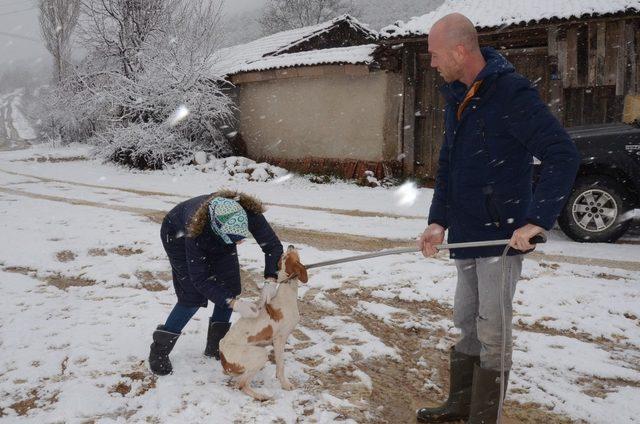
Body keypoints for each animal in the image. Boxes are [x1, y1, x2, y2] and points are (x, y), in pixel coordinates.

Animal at [219, 245, 308, 400]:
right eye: (286, 256)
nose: (290, 245)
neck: (286, 293)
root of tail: (223, 358)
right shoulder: (279, 340)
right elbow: (280, 366)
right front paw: (285, 384)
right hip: (260, 354)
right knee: (241, 384)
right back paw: (261, 395)